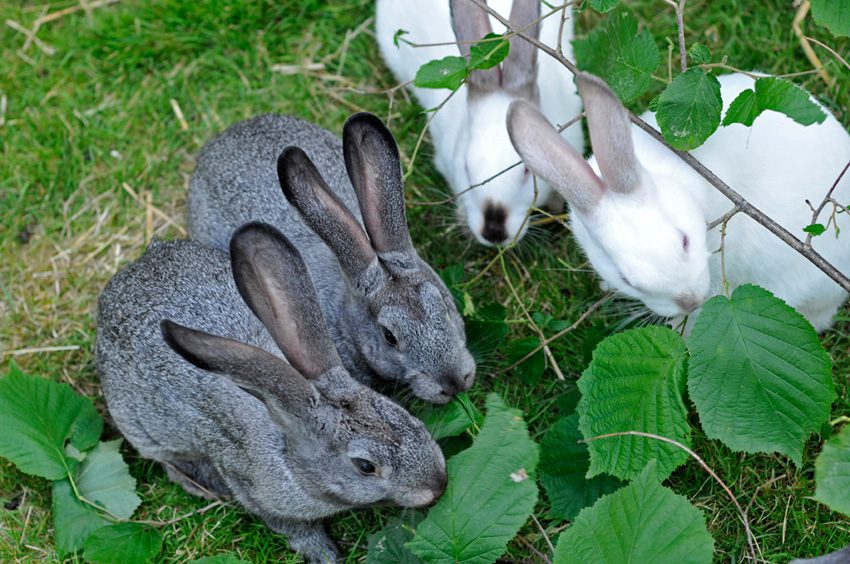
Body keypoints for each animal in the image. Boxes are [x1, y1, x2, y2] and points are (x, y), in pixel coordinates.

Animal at [96, 223, 448, 560]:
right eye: (365, 467)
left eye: (411, 419)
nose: (438, 484)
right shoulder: (254, 491)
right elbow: (292, 527)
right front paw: (324, 554)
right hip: (145, 429)